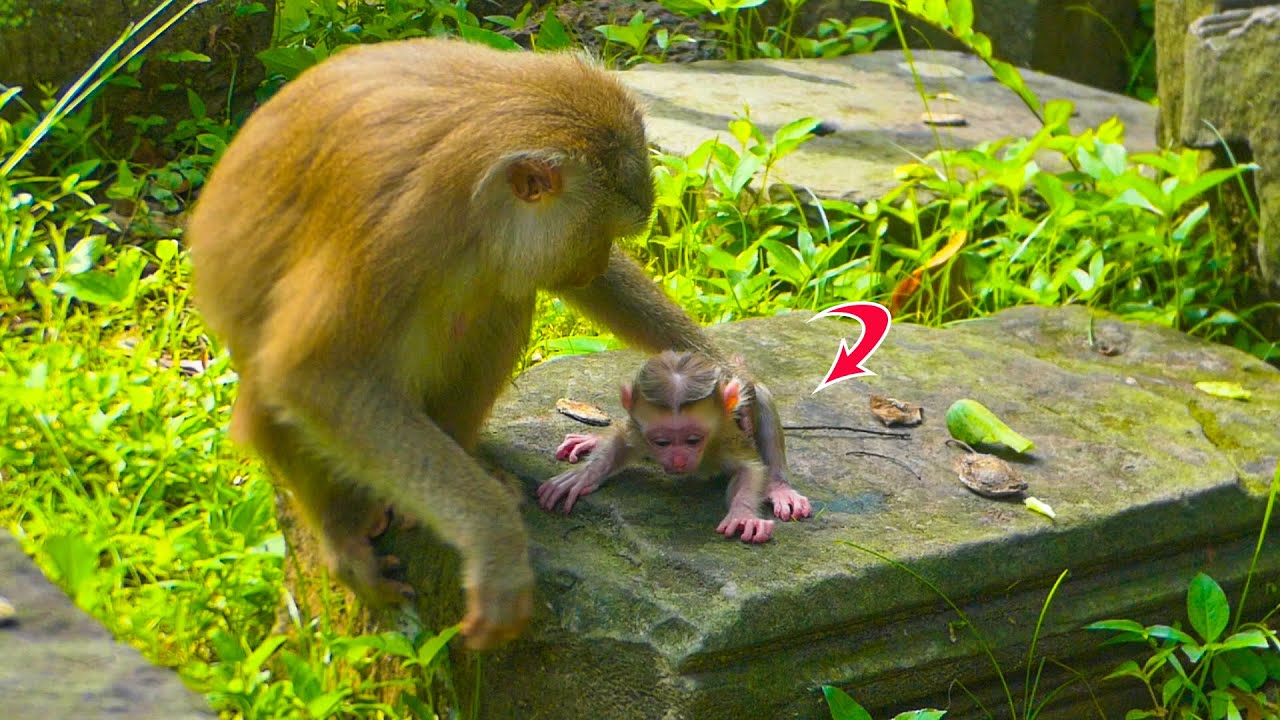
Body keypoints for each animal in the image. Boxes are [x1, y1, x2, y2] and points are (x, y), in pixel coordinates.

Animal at [537, 351, 811, 542]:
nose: (678, 460)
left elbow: (750, 469)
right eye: (662, 442)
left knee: (762, 396)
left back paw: (779, 487)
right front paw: (583, 475)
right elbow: (622, 441)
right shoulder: (641, 432)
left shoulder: (725, 437)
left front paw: (743, 514)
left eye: (693, 440)